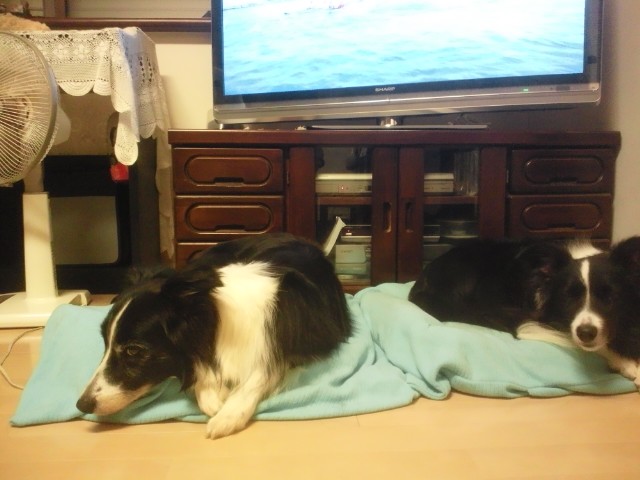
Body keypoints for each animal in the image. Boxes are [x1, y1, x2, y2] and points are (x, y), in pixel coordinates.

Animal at [76, 233, 352, 439]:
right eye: (105, 343)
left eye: (134, 350)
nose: (82, 405)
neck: (219, 321)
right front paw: (212, 397)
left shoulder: (296, 343)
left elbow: (261, 372)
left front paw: (228, 415)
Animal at [408, 237, 640, 384]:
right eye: (568, 297)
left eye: (610, 297)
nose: (586, 333)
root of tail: (423, 281)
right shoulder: (551, 320)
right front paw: (629, 364)